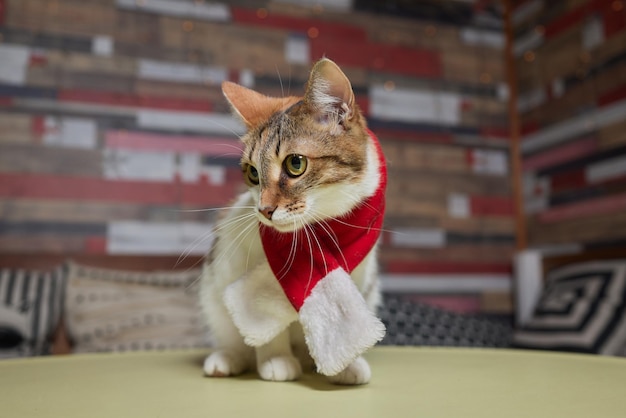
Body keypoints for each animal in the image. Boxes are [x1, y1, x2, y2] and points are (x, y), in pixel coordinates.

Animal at [200, 58, 386, 386]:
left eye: (295, 163)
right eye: (252, 173)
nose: (264, 210)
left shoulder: (360, 275)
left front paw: (346, 365)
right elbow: (266, 328)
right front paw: (276, 359)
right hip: (213, 292)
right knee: (231, 338)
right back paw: (227, 358)